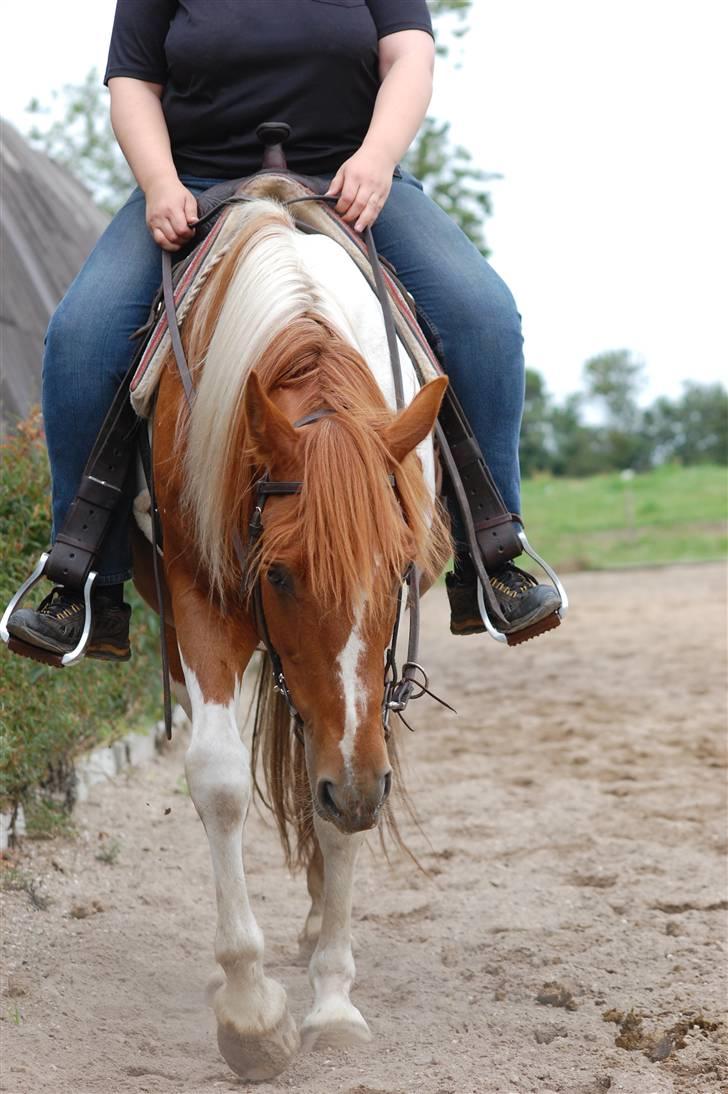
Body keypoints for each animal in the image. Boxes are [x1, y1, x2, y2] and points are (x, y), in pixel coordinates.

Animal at [133, 196, 446, 1076]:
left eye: (400, 568)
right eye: (277, 575)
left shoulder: (361, 708)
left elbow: (338, 802)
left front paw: (333, 1001)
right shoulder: (200, 599)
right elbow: (218, 780)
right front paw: (249, 1013)